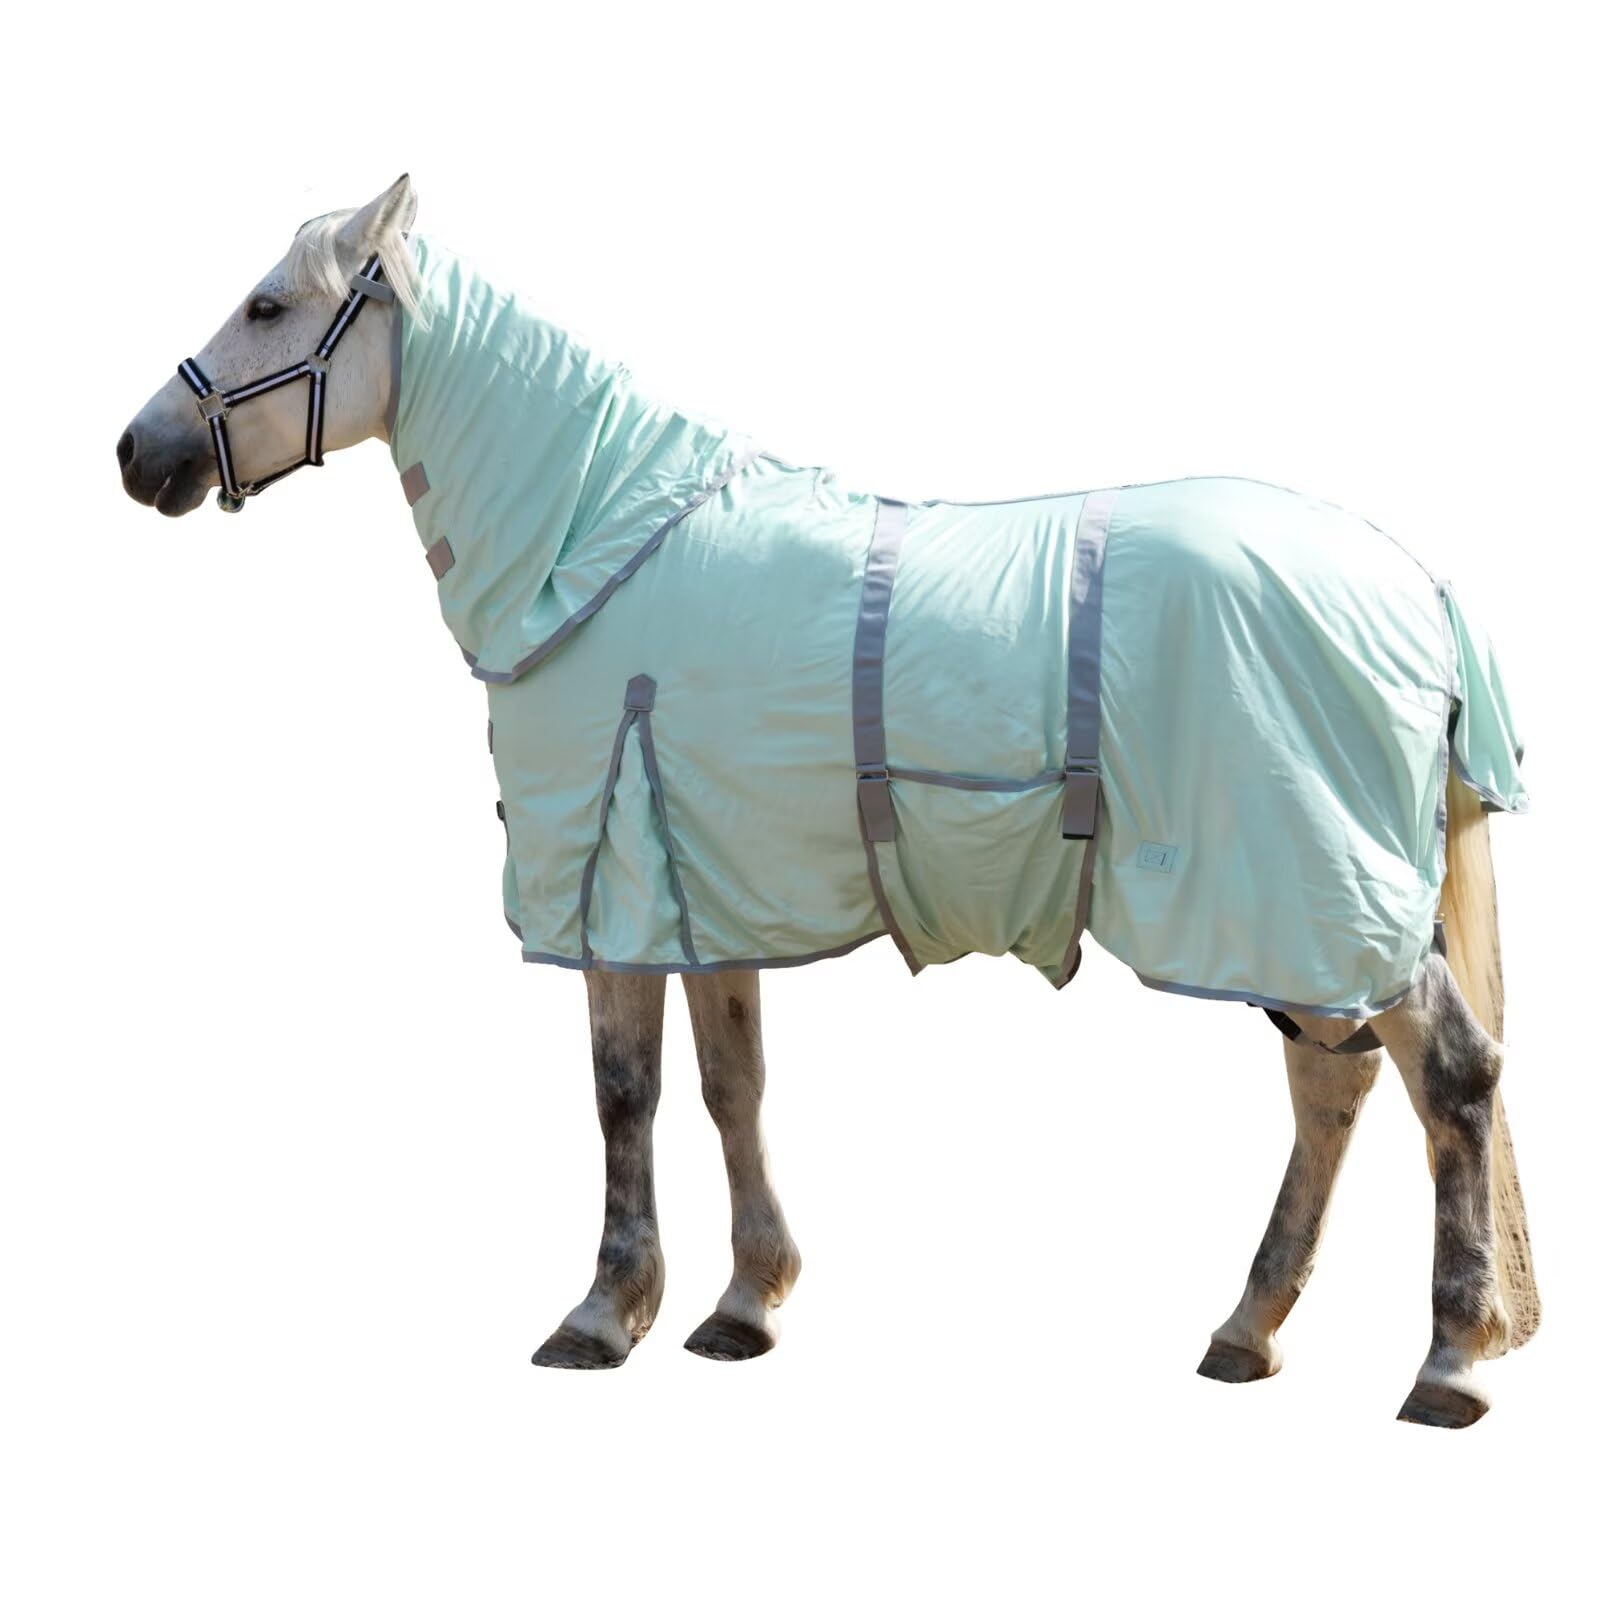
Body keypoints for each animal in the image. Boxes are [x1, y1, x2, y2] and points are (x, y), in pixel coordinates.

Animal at [118, 175, 1538, 1427]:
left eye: (265, 307)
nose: (139, 453)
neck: (600, 547)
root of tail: (1415, 587)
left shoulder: (611, 889)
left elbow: (622, 1093)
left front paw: (602, 1313)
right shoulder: (700, 887)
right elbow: (730, 1085)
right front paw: (745, 1303)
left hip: (1312, 897)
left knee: (1450, 1082)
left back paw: (1446, 1363)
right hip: (1299, 915)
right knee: (1331, 1089)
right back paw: (1247, 1331)